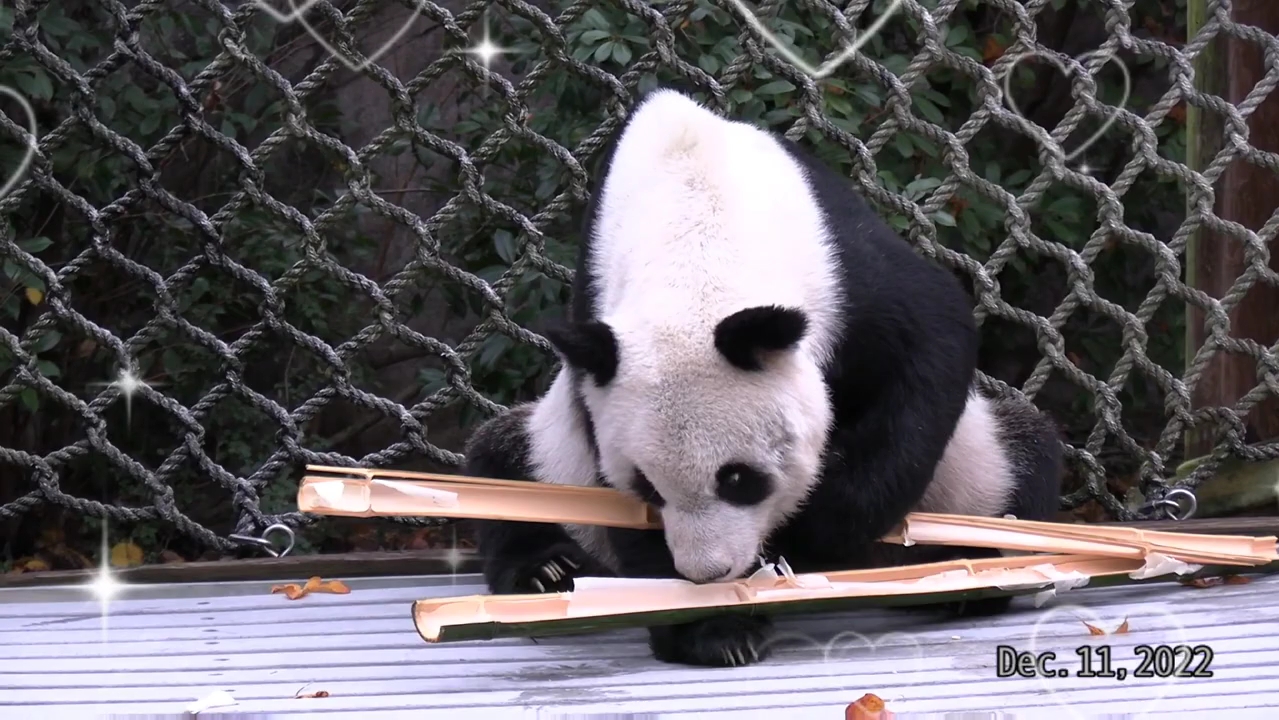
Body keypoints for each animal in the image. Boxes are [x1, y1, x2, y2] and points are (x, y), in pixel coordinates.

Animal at [460, 88, 1059, 670]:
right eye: (648, 487)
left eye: (738, 479)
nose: (707, 572)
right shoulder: (596, 325)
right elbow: (611, 489)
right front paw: (712, 629)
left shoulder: (845, 269)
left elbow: (930, 349)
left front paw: (812, 535)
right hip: (550, 453)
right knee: (501, 466)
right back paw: (546, 570)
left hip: (974, 468)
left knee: (1025, 458)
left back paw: (965, 571)